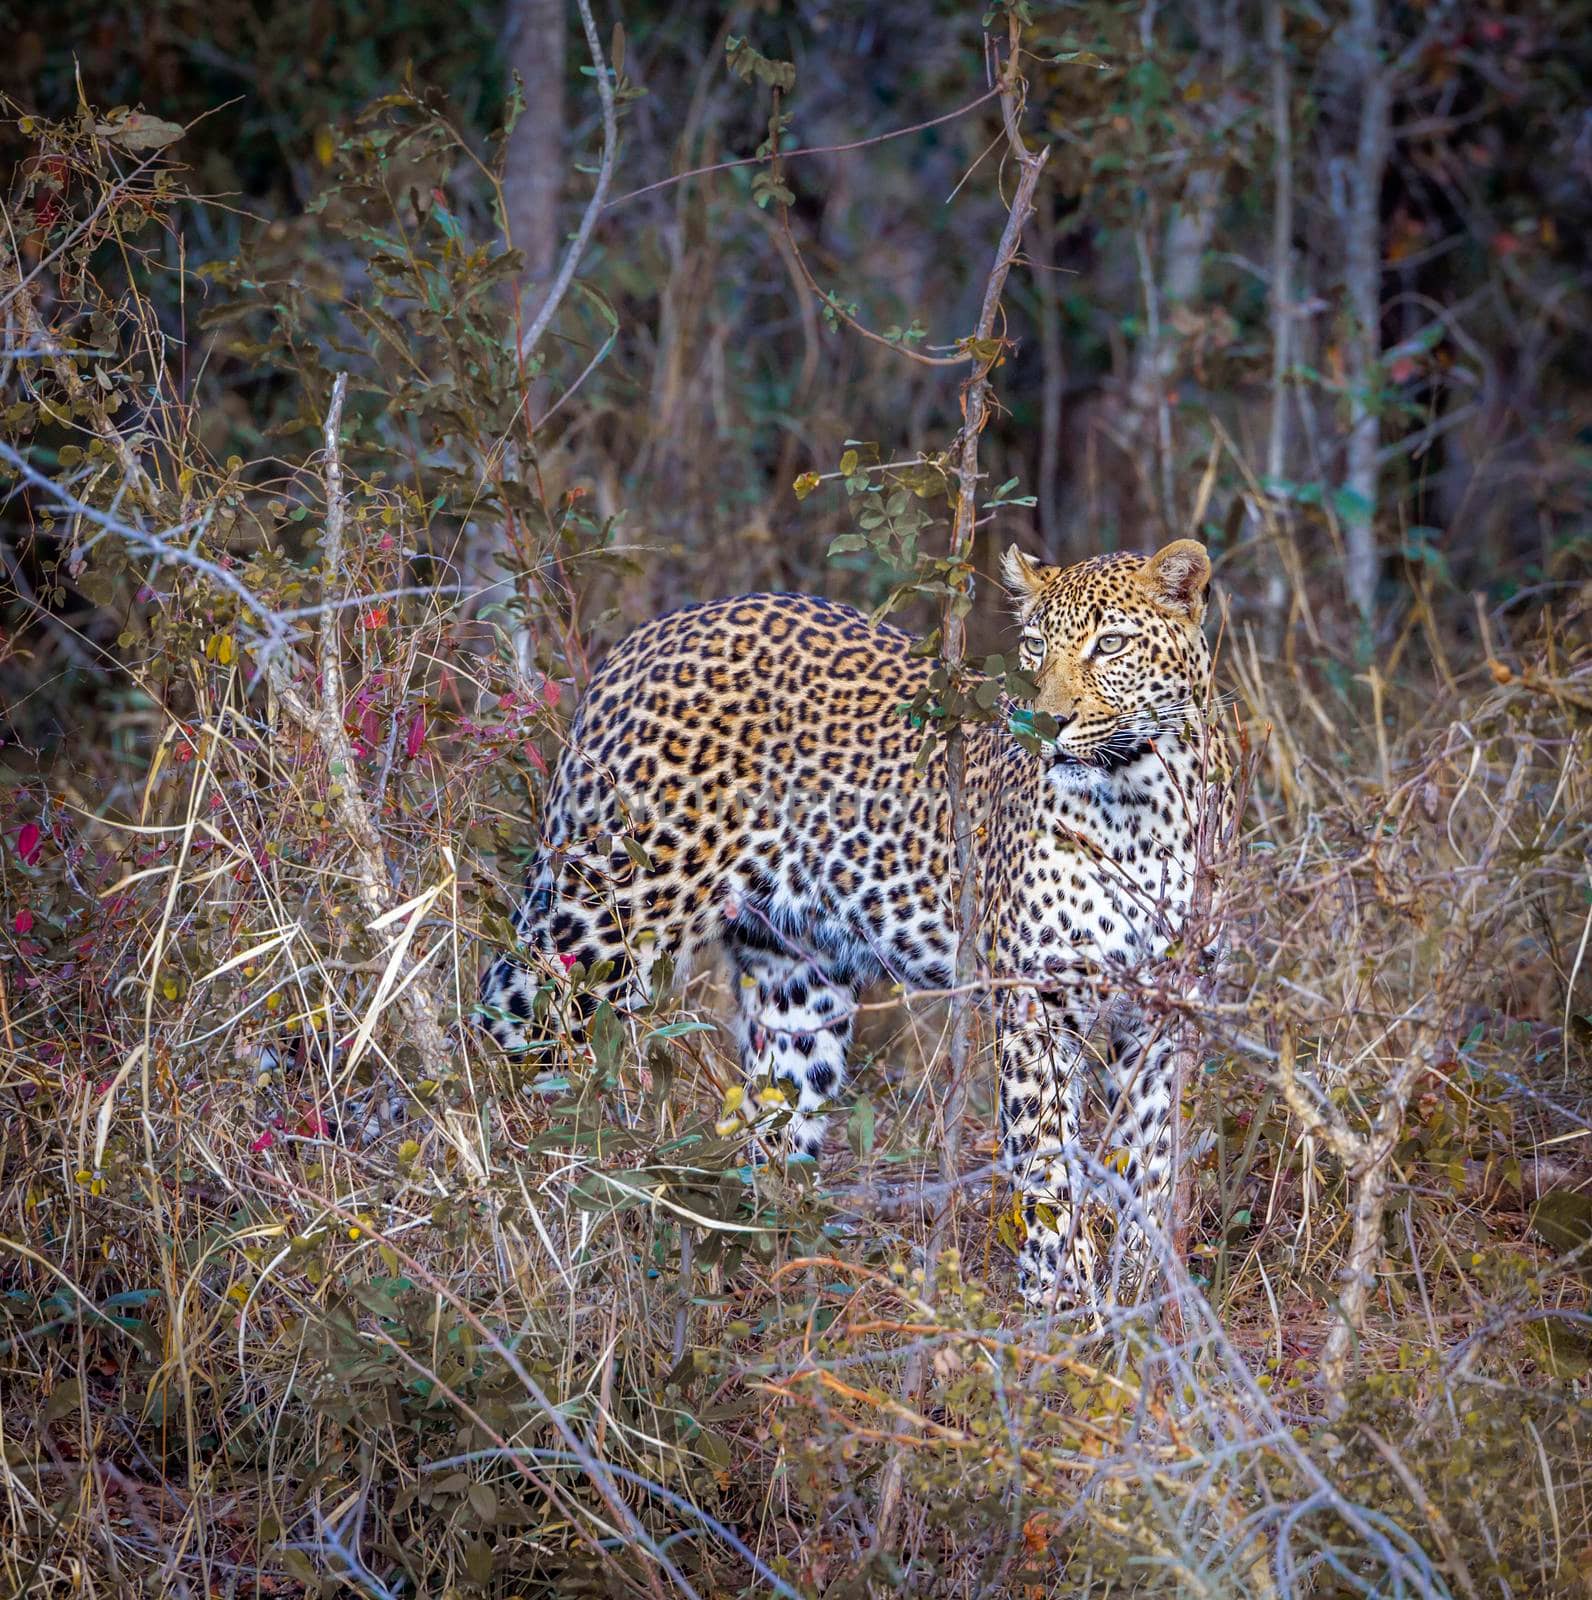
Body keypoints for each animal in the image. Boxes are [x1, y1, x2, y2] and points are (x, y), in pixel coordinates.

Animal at [486, 540, 1222, 1312]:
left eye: (1111, 644)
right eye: (1034, 646)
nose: (1045, 725)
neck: (1137, 807)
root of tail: (646, 638)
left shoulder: (1167, 1012)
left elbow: (1151, 1161)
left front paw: (1147, 1299)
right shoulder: (1037, 1004)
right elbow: (1047, 1163)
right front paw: (1062, 1308)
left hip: (795, 985)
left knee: (775, 1118)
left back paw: (772, 1267)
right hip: (607, 917)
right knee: (512, 1020)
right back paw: (520, 1204)